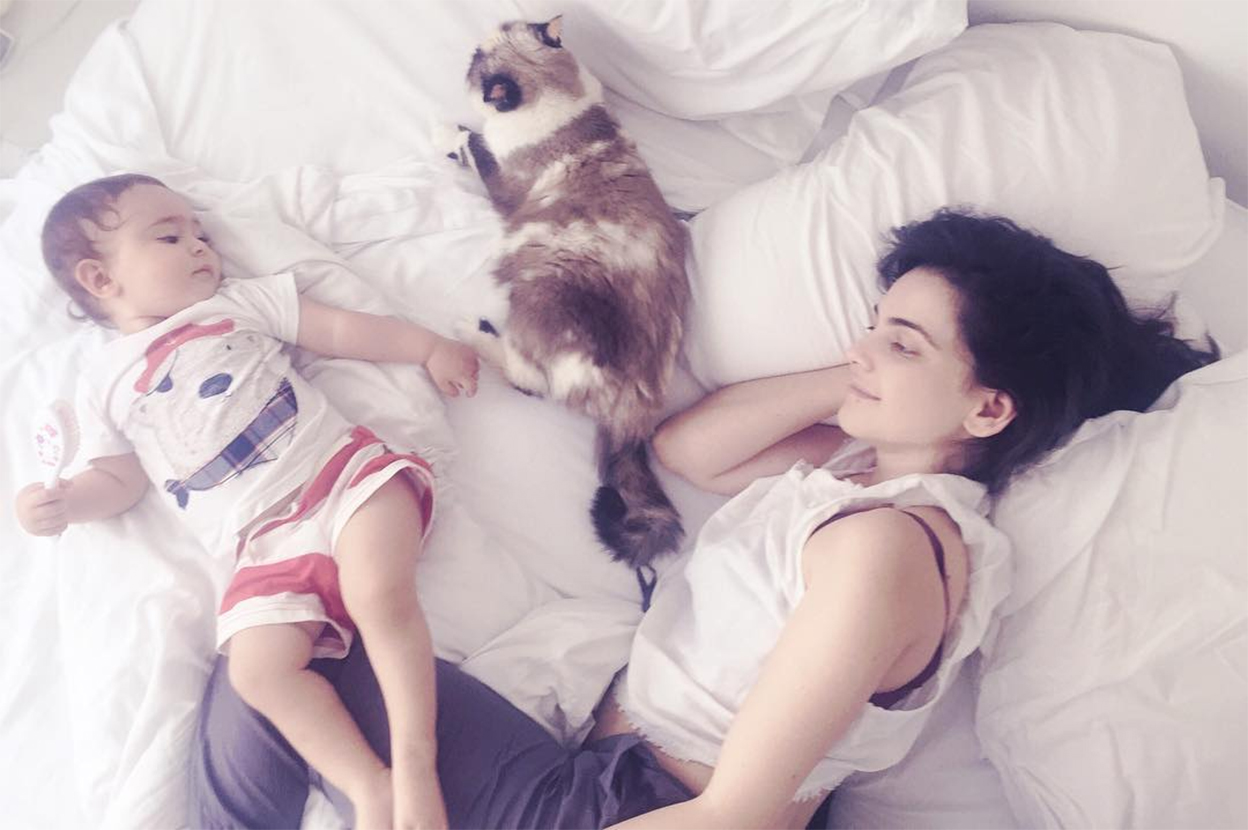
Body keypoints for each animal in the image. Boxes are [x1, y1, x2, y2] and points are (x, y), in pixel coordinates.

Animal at [443, 16, 689, 571]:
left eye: (474, 61)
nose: (467, 54)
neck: (559, 96)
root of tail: (635, 415)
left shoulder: (502, 183)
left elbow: (477, 147)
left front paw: (451, 135)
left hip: (538, 293)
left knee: (527, 380)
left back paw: (474, 331)